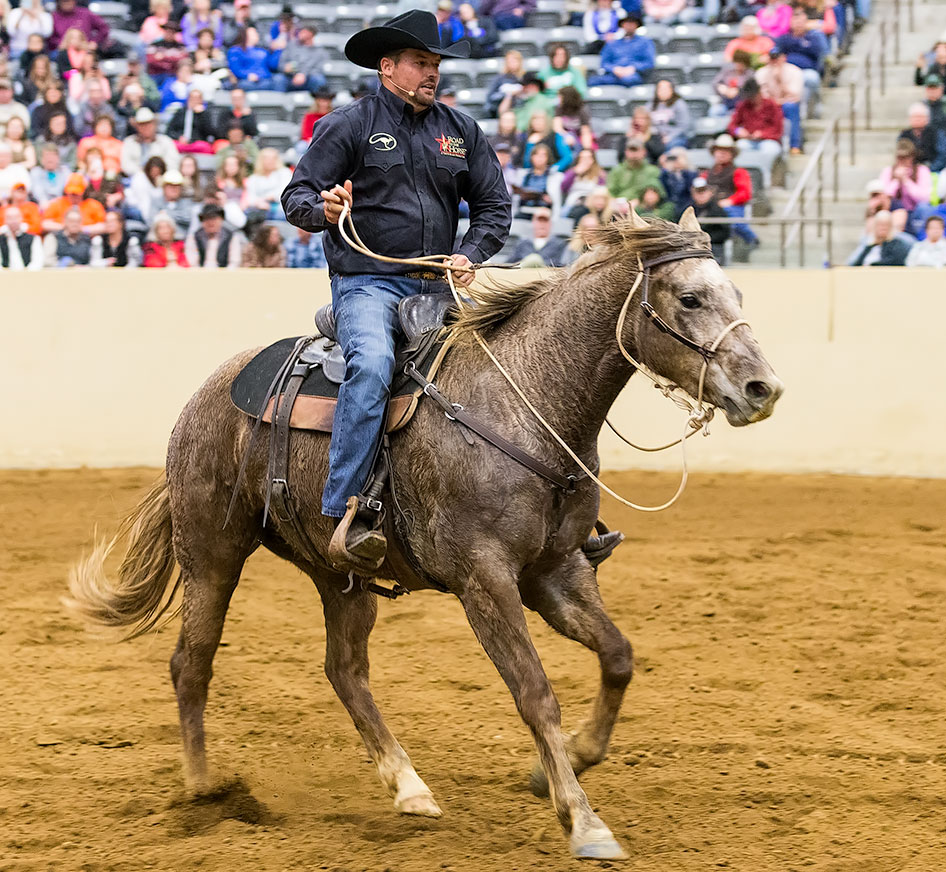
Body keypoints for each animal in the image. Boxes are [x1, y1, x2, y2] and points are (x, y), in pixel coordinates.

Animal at [68, 209, 780, 860]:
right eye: (689, 298)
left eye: (738, 296)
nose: (763, 389)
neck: (526, 404)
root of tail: (210, 392)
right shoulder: (484, 579)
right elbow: (535, 693)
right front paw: (583, 820)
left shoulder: (557, 571)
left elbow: (618, 656)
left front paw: (568, 761)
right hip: (211, 553)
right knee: (192, 662)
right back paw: (202, 791)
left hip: (339, 572)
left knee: (344, 669)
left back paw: (408, 786)